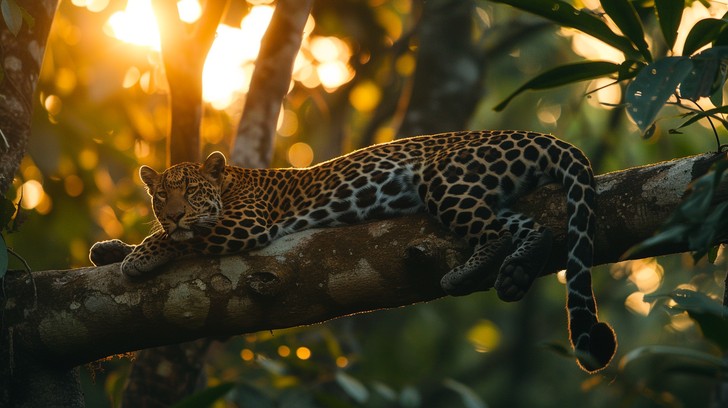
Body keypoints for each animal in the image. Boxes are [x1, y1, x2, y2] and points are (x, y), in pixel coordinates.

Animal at [90, 130, 617, 372]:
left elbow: (183, 239)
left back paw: (468, 273)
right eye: (161, 197)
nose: (175, 213)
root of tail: (534, 134)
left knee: (500, 231)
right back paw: (516, 270)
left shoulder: (245, 223)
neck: (233, 181)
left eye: (193, 193)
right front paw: (110, 250)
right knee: (532, 227)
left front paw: (139, 255)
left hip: (444, 177)